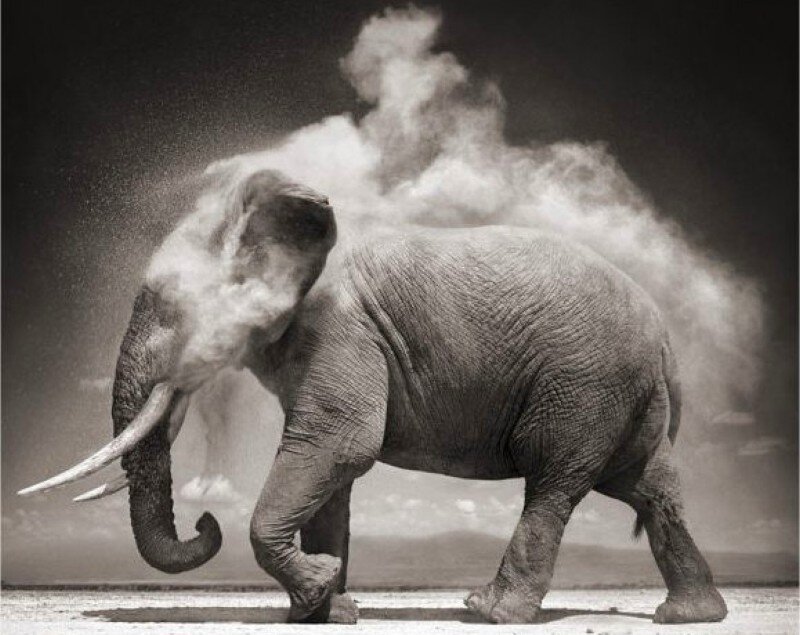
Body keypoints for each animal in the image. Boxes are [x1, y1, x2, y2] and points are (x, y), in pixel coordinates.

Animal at [20, 169, 727, 625]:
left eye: (171, 307)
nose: (204, 521)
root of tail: (666, 337)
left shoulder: (341, 329)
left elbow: (340, 445)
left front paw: (318, 590)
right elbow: (332, 473)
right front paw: (325, 610)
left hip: (584, 383)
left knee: (554, 484)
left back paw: (489, 612)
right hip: (624, 395)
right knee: (648, 489)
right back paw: (689, 615)